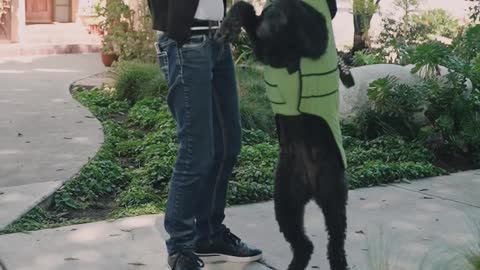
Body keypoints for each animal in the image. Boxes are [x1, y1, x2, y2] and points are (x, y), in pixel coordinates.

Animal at [217, 0, 348, 270]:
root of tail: (310, 186)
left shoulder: (314, 40)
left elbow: (295, 15)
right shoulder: (265, 48)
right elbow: (248, 11)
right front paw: (231, 23)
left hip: (332, 193)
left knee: (335, 240)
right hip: (285, 201)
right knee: (304, 244)